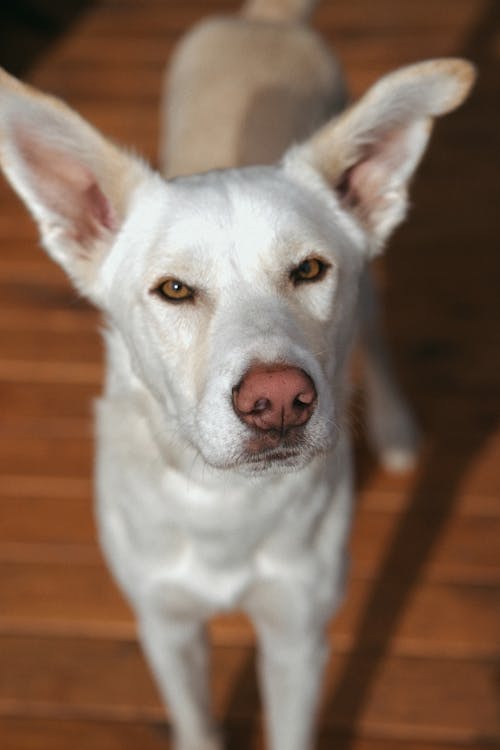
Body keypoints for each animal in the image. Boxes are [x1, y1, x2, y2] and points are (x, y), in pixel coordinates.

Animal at [0, 1, 472, 750]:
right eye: (174, 289)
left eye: (309, 269)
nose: (278, 400)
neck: (223, 502)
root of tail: (264, 19)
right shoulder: (166, 627)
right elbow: (195, 722)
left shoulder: (298, 635)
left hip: (369, 290)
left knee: (376, 334)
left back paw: (397, 430)